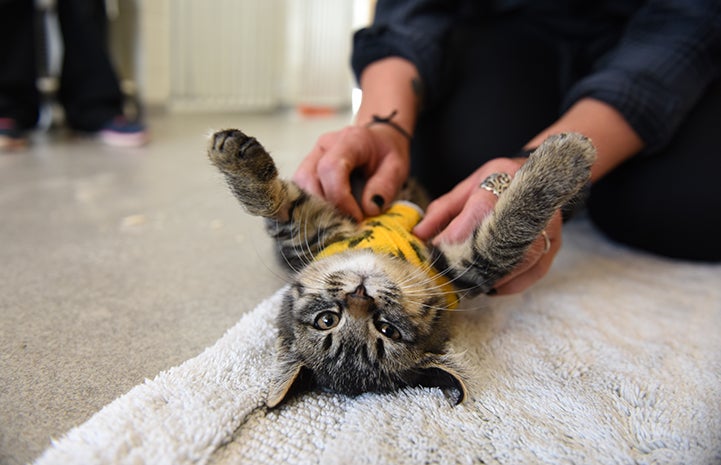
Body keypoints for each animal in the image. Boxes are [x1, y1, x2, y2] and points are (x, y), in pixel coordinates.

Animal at [205, 129, 592, 404]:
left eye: (386, 329)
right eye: (328, 320)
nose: (360, 294)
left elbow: (274, 202)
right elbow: (506, 231)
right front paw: (564, 163)